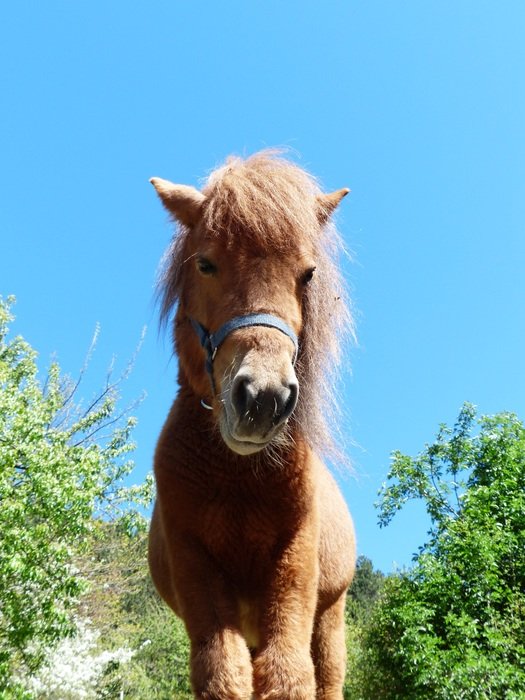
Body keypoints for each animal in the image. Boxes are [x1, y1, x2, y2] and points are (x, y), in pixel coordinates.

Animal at [147, 150, 356, 696]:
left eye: (308, 274)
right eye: (205, 263)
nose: (263, 398)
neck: (237, 479)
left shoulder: (294, 565)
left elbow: (289, 676)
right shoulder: (196, 568)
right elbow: (224, 676)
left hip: (329, 619)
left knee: (326, 678)